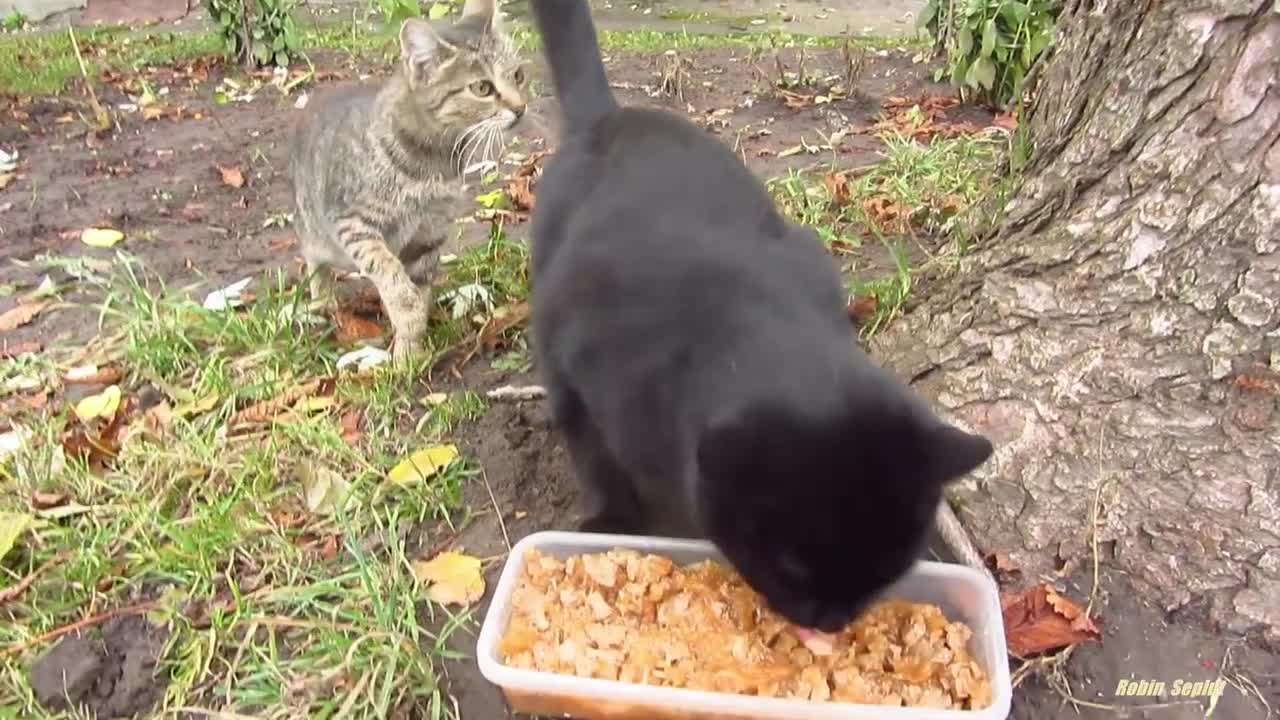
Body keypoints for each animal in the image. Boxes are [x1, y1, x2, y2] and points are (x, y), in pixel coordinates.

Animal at [290, 0, 524, 358]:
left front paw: (411, 347)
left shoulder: (429, 233)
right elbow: (392, 277)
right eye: (482, 88)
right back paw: (322, 302)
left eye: (518, 75)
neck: (433, 160)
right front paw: (405, 344)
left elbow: (419, 288)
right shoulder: (356, 225)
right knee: (315, 263)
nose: (521, 108)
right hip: (314, 228)